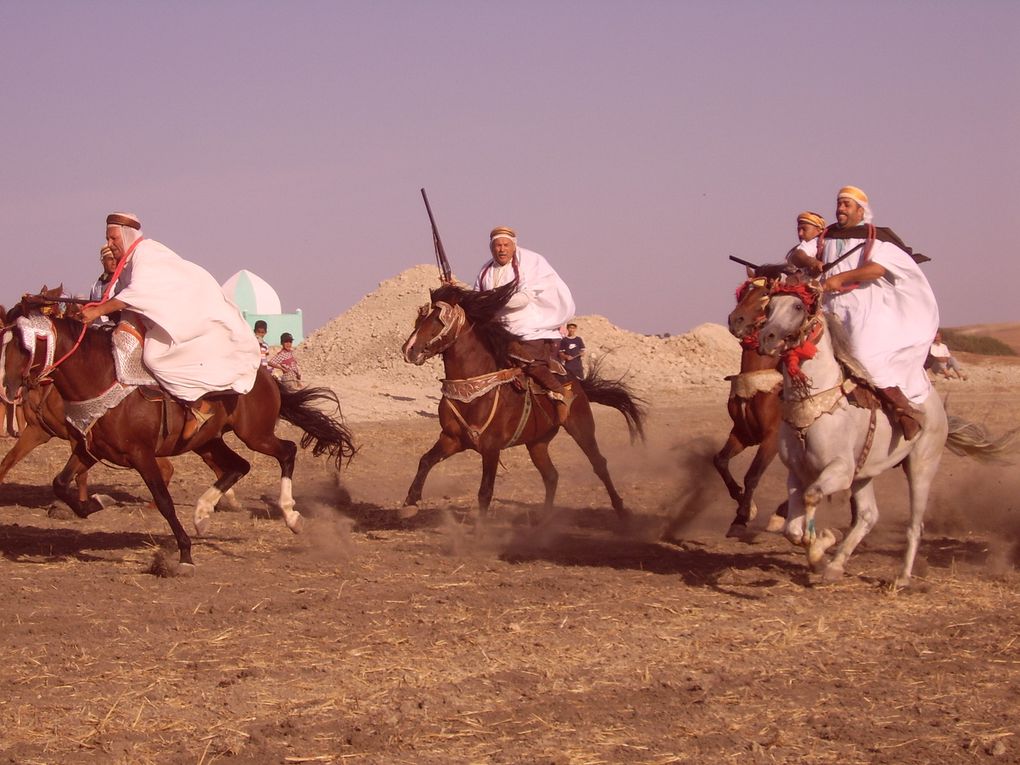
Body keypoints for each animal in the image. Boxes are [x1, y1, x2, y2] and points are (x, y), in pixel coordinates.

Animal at [5, 295, 357, 571]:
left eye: (25, 343)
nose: (8, 386)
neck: (104, 378)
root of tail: (266, 375)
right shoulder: (91, 450)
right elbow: (60, 483)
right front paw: (96, 502)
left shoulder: (141, 455)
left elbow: (164, 500)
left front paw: (185, 554)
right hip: (208, 441)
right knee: (238, 466)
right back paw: (202, 513)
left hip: (254, 433)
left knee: (286, 451)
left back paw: (290, 515)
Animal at [399, 285, 644, 526]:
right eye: (421, 317)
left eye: (438, 320)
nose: (409, 349)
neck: (471, 391)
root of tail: (576, 383)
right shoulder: (452, 439)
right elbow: (425, 460)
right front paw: (410, 503)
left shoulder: (491, 448)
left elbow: (485, 492)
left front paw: (480, 530)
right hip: (537, 443)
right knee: (551, 475)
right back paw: (545, 520)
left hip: (581, 428)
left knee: (599, 464)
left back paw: (621, 510)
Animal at [714, 279, 783, 534]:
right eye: (743, 293)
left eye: (766, 293)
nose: (735, 320)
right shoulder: (743, 433)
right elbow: (720, 461)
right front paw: (743, 504)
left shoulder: (772, 438)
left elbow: (752, 475)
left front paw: (742, 517)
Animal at [758, 285, 1011, 583]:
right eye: (769, 306)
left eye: (798, 307)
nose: (767, 337)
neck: (815, 407)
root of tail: (937, 408)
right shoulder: (797, 473)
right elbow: (793, 531)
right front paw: (820, 554)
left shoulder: (840, 471)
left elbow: (811, 499)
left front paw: (822, 544)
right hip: (864, 474)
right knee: (869, 515)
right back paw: (836, 566)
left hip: (920, 468)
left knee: (914, 525)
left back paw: (902, 577)